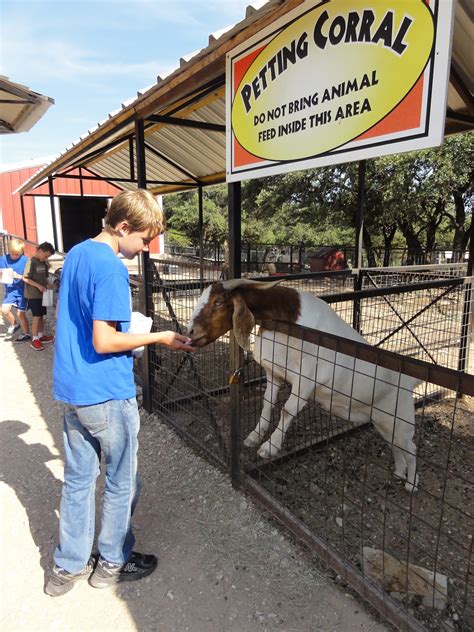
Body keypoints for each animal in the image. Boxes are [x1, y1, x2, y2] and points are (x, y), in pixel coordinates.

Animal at [187, 278, 420, 492]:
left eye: (218, 302)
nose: (190, 332)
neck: (290, 322)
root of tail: (409, 382)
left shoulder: (307, 378)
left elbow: (287, 410)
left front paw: (269, 447)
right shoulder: (274, 373)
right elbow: (267, 403)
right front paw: (254, 436)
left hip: (401, 421)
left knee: (411, 448)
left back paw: (411, 484)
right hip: (383, 422)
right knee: (396, 446)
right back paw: (399, 473)